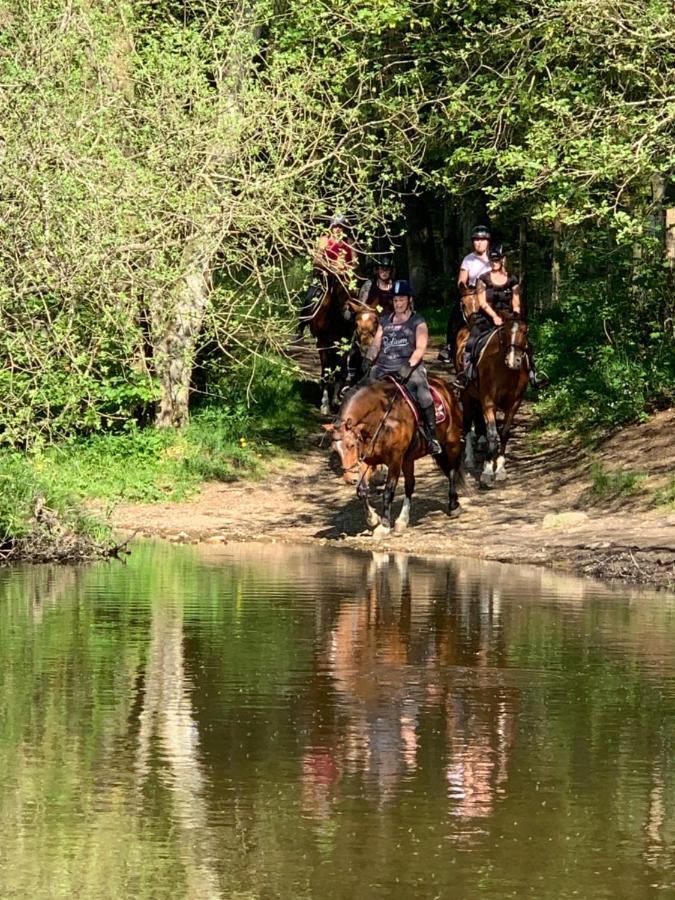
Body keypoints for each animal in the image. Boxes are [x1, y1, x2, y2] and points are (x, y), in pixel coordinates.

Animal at [308, 274, 356, 414]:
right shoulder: (322, 344)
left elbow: (340, 371)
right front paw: (324, 405)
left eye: (355, 290)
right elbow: (326, 372)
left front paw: (335, 401)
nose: (349, 314)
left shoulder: (343, 346)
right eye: (340, 289)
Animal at [324, 376, 464, 536]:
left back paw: (453, 506)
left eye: (351, 445)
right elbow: (362, 490)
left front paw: (384, 525)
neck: (381, 418)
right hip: (409, 459)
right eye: (335, 450)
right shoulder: (368, 459)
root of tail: (445, 386)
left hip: (452, 443)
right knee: (410, 484)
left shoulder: (395, 460)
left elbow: (388, 491)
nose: (349, 479)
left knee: (452, 471)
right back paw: (402, 520)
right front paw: (373, 519)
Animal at [456, 314, 532, 486]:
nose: (513, 361)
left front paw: (500, 469)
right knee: (468, 422)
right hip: (466, 395)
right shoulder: (489, 402)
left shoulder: (514, 404)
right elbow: (492, 434)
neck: (506, 371)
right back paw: (470, 458)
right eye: (504, 332)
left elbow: (503, 433)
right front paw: (487, 471)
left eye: (525, 332)